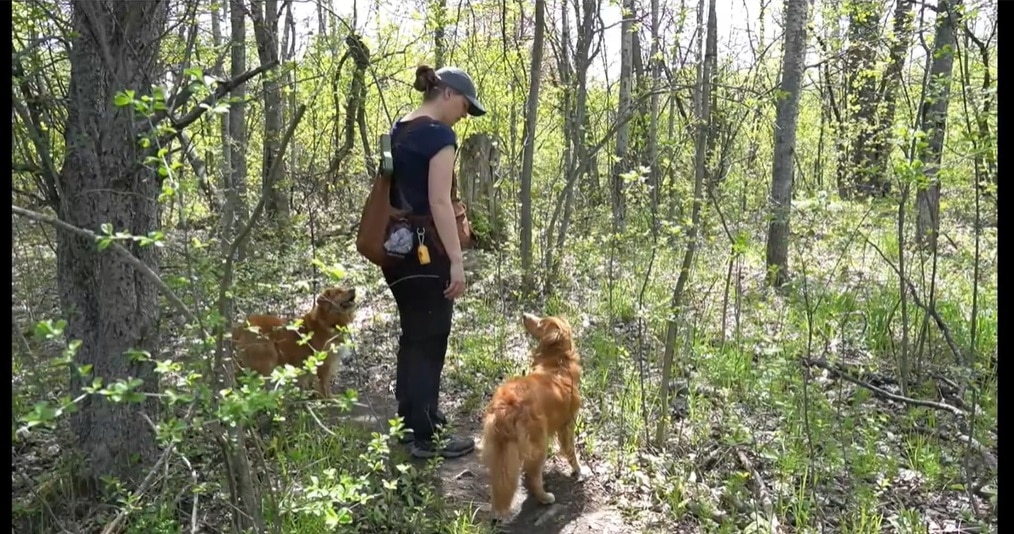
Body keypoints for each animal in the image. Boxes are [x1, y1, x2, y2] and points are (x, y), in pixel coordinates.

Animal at [478, 312, 584, 522]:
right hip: (539, 444)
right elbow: (571, 451)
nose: (524, 314)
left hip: (499, 450)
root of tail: (506, 405)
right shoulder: (567, 425)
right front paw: (578, 469)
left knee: (500, 482)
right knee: (534, 476)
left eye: (541, 322)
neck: (558, 364)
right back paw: (544, 497)